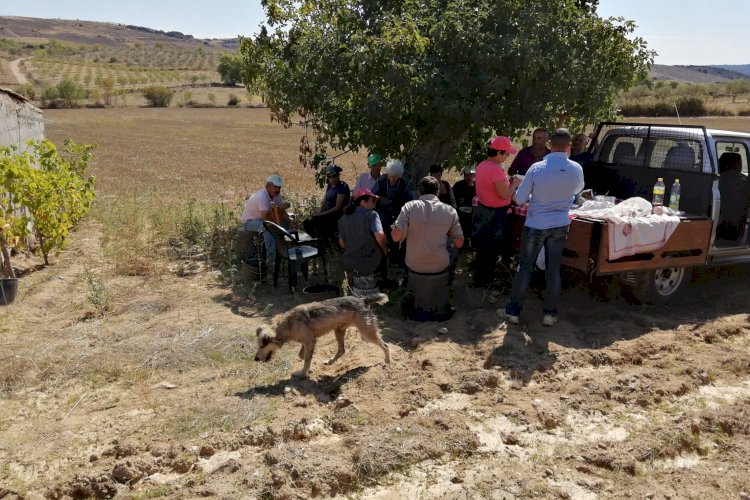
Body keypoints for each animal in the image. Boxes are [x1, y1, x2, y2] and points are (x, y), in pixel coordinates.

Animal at [254, 292, 390, 376]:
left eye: (262, 346)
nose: (255, 359)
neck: (288, 324)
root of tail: (363, 300)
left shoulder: (309, 341)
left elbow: (306, 359)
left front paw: (302, 373)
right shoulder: (308, 340)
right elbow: (302, 355)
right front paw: (306, 364)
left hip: (366, 333)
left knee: (385, 345)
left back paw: (387, 362)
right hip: (338, 331)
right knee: (342, 350)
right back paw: (330, 361)